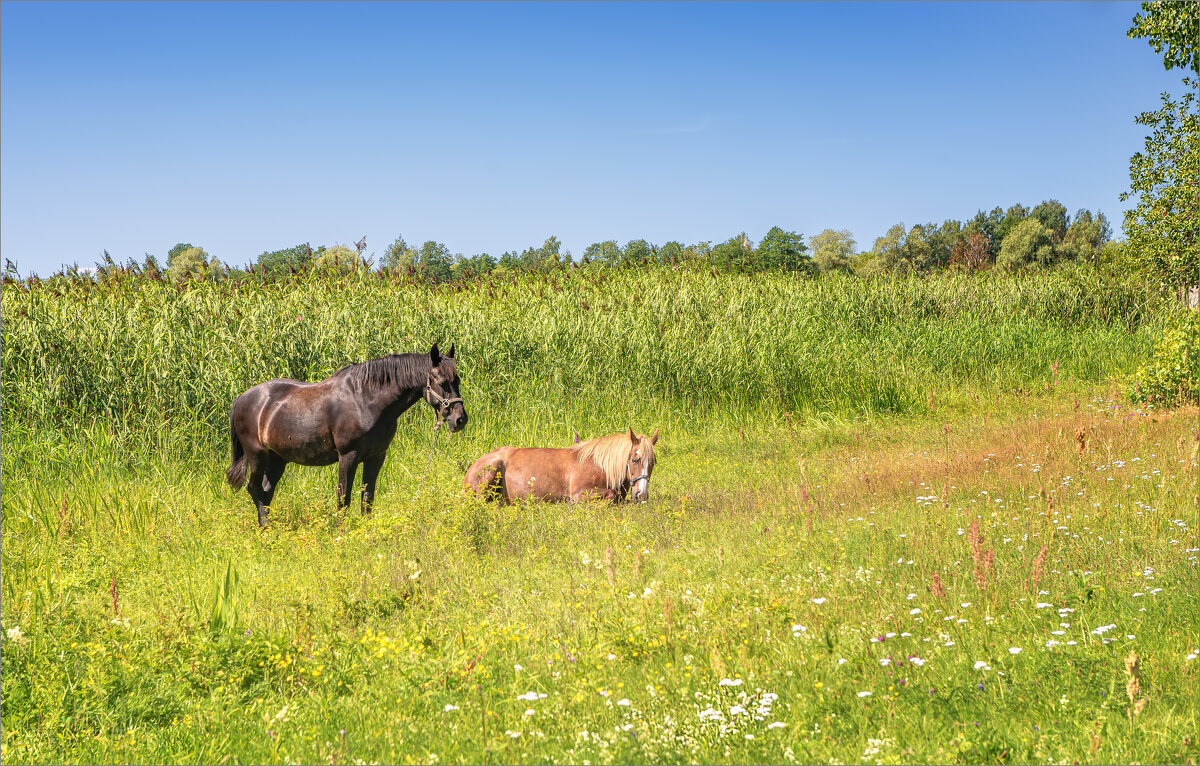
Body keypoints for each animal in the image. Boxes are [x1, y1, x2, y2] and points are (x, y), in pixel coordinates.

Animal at [226, 343, 465, 528]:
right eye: (442, 382)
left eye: (458, 380)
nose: (460, 419)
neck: (366, 400)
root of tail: (242, 398)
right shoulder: (348, 456)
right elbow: (343, 497)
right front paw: (342, 534)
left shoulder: (376, 457)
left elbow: (367, 497)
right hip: (257, 456)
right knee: (254, 488)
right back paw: (266, 529)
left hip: (278, 459)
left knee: (266, 492)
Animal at [465, 432, 662, 504]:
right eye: (635, 459)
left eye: (652, 462)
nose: (642, 494)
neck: (599, 465)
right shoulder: (579, 493)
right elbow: (611, 495)